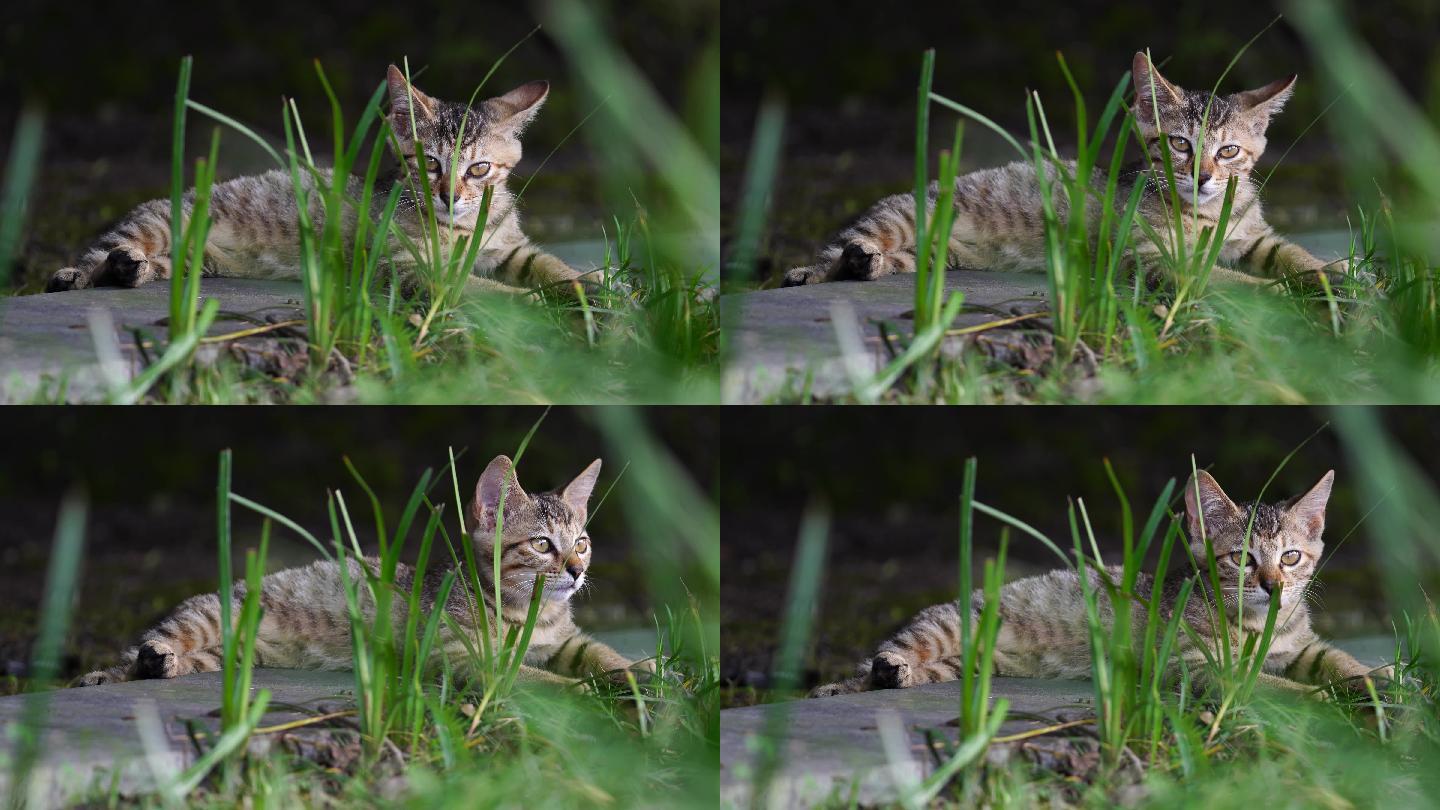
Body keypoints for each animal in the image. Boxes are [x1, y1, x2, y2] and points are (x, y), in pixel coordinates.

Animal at [49, 63, 590, 296]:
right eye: (431, 164)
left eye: (479, 168)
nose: (449, 197)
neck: (461, 230)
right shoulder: (403, 267)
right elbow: (489, 293)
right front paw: (538, 305)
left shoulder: (509, 248)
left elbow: (549, 264)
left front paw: (592, 284)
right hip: (161, 220)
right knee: (100, 252)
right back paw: (83, 272)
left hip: (193, 260)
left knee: (153, 264)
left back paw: (130, 270)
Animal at [73, 455, 648, 686]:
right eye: (542, 544)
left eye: (582, 543)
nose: (575, 571)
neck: (532, 614)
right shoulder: (456, 657)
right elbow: (534, 679)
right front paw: (584, 696)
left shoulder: (566, 641)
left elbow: (603, 654)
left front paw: (642, 671)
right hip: (206, 617)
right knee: (139, 651)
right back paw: (126, 666)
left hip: (231, 654)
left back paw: (162, 666)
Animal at [783, 51, 1342, 289]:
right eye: (1181, 144)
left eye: (1227, 152)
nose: (1202, 177)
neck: (1206, 216)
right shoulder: (1149, 258)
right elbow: (1231, 282)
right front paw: (1280, 298)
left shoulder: (1254, 237)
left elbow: (1293, 253)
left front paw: (1337, 275)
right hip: (899, 215)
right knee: (836, 250)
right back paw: (820, 268)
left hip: (934, 255)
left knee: (895, 259)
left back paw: (867, 265)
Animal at [812, 469, 1382, 697]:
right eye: (1242, 560)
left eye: (1291, 557)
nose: (1272, 586)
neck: (1257, 625)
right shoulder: (1191, 665)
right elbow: (1264, 684)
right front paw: (1319, 699)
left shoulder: (1300, 645)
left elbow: (1337, 658)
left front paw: (1379, 677)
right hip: (944, 626)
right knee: (878, 660)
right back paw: (870, 674)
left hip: (967, 662)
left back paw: (897, 677)